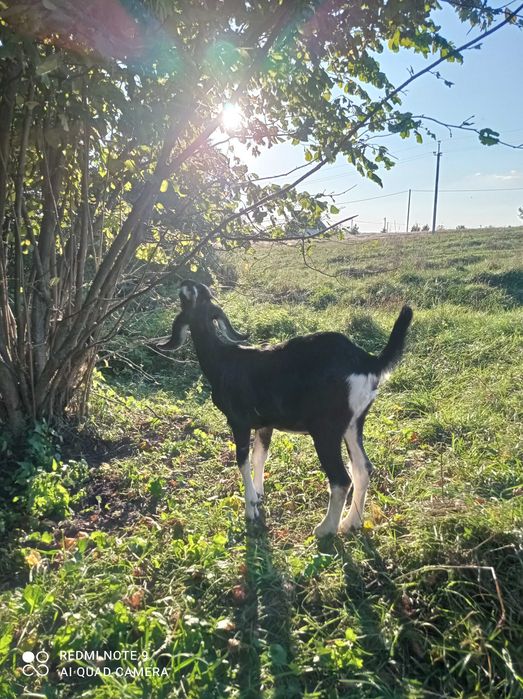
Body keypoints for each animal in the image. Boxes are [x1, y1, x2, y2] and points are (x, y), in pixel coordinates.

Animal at [156, 280, 413, 536]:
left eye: (187, 296)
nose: (188, 282)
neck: (222, 359)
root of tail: (366, 361)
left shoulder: (238, 421)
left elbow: (242, 460)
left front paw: (250, 509)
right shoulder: (265, 424)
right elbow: (260, 456)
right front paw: (259, 495)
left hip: (326, 429)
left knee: (341, 479)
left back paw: (325, 529)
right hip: (353, 423)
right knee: (362, 469)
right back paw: (350, 523)